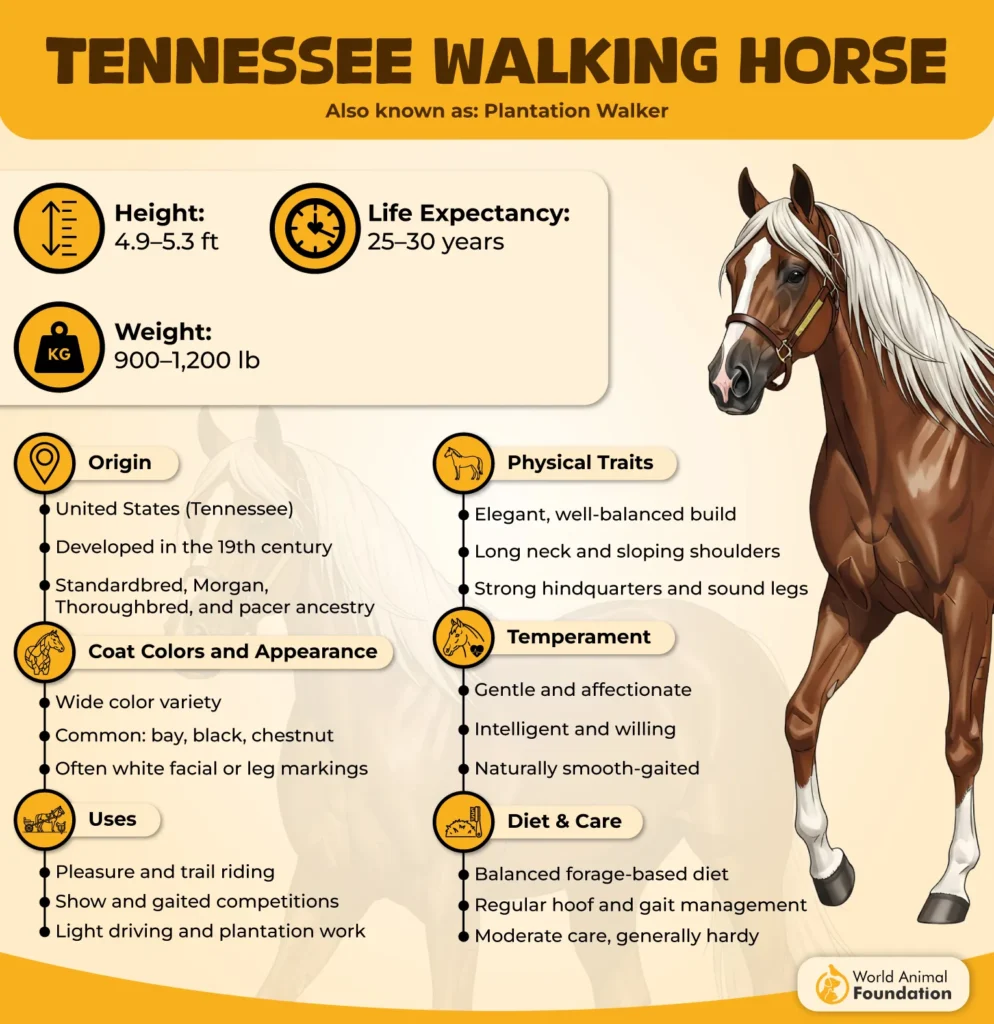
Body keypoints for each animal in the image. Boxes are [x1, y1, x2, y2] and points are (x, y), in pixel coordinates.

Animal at [708, 165, 992, 925]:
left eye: (794, 271)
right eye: (732, 272)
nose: (727, 381)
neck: (907, 445)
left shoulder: (967, 605)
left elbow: (961, 741)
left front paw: (952, 884)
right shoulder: (856, 601)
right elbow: (801, 715)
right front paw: (828, 864)